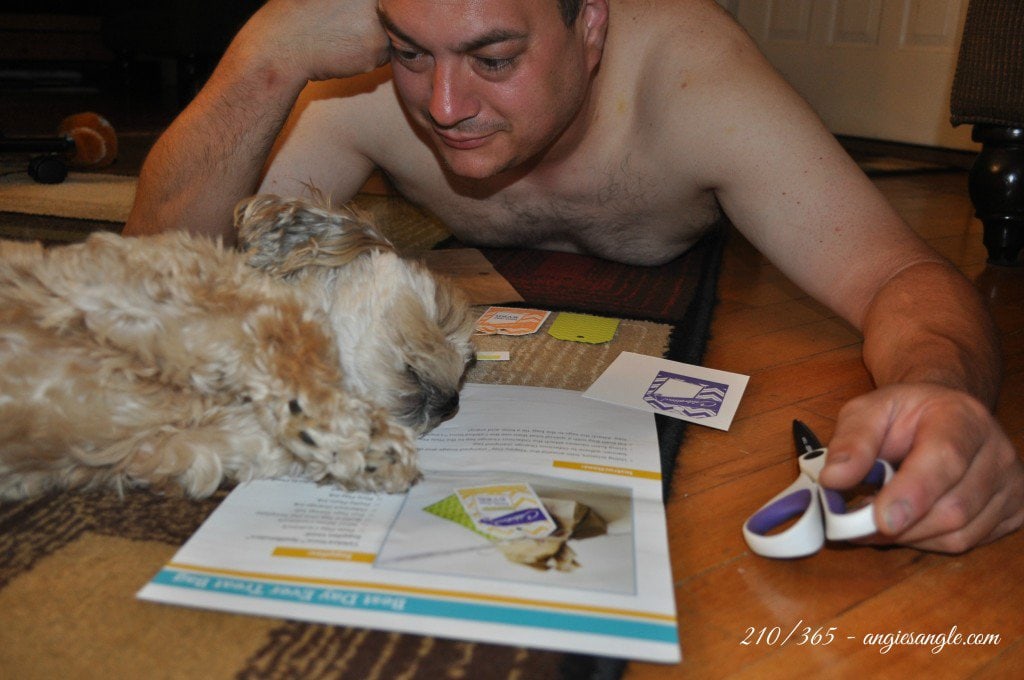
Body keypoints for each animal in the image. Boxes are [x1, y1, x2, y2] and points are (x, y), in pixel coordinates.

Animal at [0, 192, 473, 499]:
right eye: (440, 317)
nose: (454, 403)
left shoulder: (162, 449)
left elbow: (248, 444)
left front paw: (357, 450)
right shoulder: (135, 285)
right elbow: (288, 329)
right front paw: (361, 432)